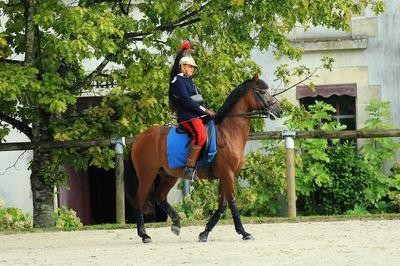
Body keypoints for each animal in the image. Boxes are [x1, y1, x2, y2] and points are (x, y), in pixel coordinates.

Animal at [130, 72, 282, 243]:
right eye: (262, 92)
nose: (279, 111)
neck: (229, 133)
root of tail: (140, 137)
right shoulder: (227, 174)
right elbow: (232, 203)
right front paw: (244, 232)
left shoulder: (226, 176)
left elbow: (222, 205)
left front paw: (205, 232)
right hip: (147, 175)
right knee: (139, 199)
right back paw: (144, 234)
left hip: (169, 175)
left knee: (160, 197)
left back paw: (176, 223)